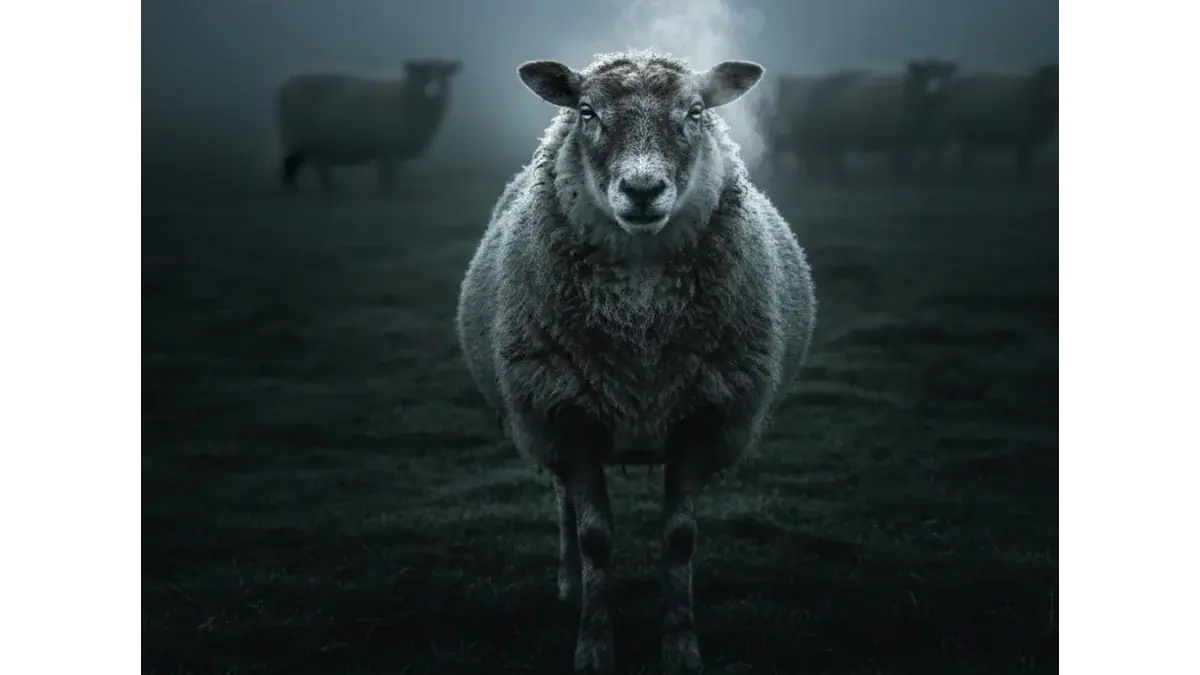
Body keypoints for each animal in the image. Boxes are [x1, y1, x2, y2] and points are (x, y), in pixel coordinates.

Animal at [276, 59, 461, 191]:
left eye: (443, 74)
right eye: (421, 74)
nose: (433, 91)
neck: (403, 99)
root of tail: (286, 86)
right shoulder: (387, 149)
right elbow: (389, 175)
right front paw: (388, 192)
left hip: (315, 143)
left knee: (319, 166)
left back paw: (331, 188)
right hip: (297, 138)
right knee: (293, 166)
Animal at [455, 49, 817, 675]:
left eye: (694, 111)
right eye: (586, 111)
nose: (642, 189)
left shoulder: (701, 417)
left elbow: (679, 538)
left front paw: (681, 648)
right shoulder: (568, 417)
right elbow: (594, 537)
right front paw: (593, 647)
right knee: (565, 510)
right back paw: (568, 587)